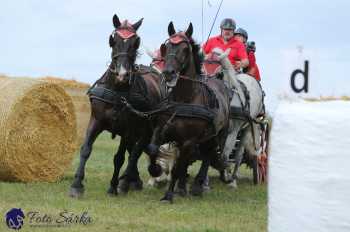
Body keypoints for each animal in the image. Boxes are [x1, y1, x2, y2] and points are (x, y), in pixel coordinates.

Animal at [70, 14, 165, 198]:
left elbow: (119, 158)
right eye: (113, 40)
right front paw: (76, 184)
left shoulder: (127, 128)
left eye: (136, 42)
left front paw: (113, 186)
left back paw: (126, 181)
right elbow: (86, 149)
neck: (117, 91)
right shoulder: (96, 120)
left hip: (145, 129)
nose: (122, 74)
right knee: (133, 151)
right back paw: (133, 180)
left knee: (135, 152)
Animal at [146, 22, 231, 203]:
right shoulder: (163, 131)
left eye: (185, 49)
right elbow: (153, 149)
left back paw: (198, 185)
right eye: (167, 46)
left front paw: (168, 195)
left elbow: (178, 167)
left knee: (208, 155)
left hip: (217, 135)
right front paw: (155, 170)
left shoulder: (189, 140)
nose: (168, 72)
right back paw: (183, 187)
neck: (184, 99)